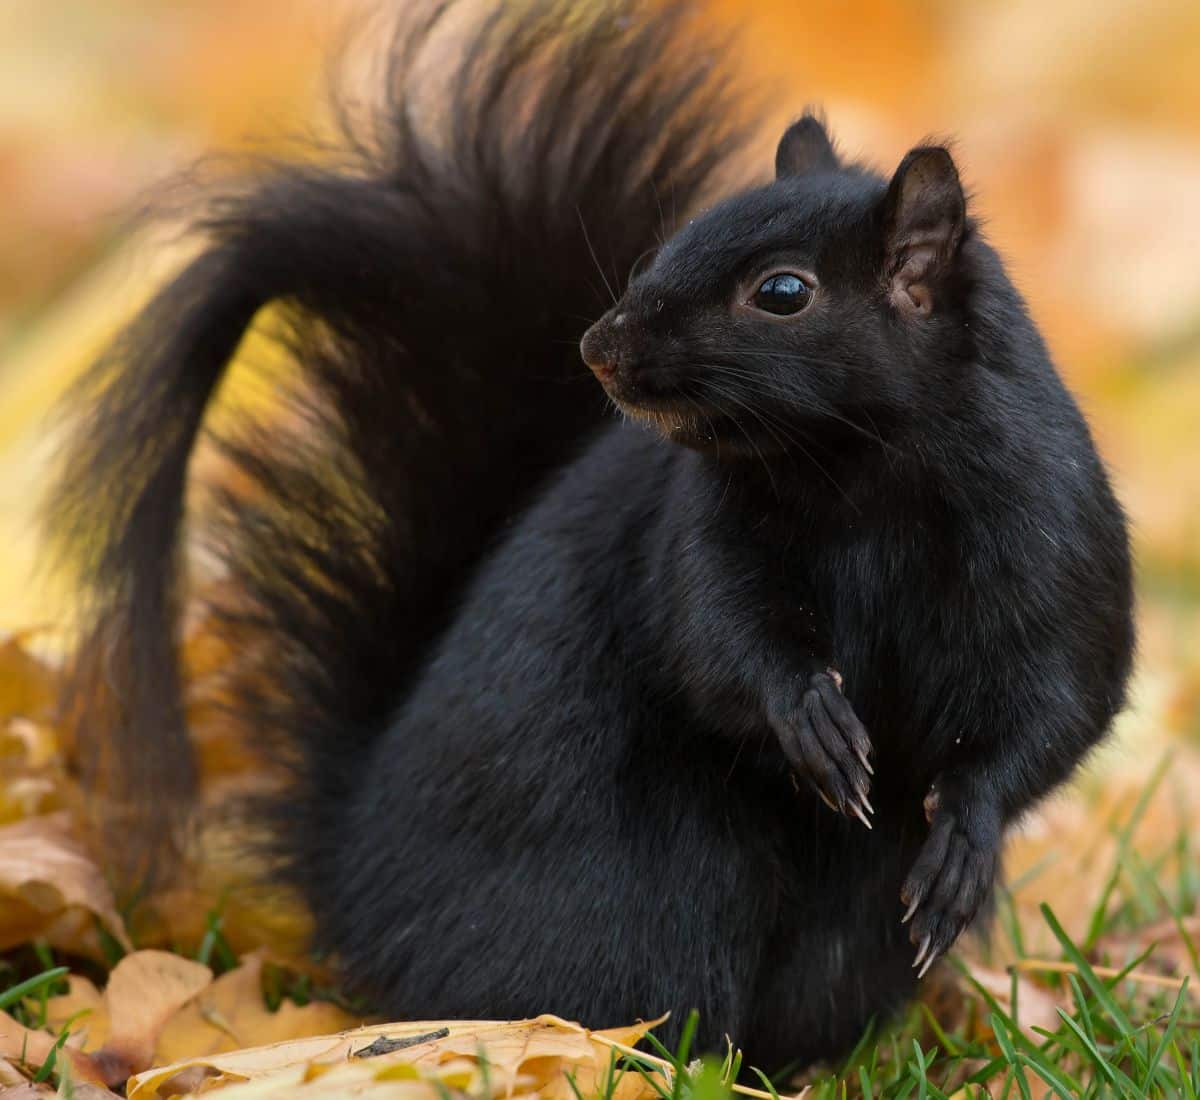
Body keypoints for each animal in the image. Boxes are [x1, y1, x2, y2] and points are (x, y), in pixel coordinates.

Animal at [46, 0, 1132, 1074]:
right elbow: (718, 643)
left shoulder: (1051, 537)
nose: (599, 348)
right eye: (662, 248)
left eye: (784, 292)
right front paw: (812, 720)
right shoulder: (699, 537)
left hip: (840, 944)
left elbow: (1056, 707)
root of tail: (355, 887)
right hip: (633, 899)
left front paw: (963, 837)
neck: (861, 473)